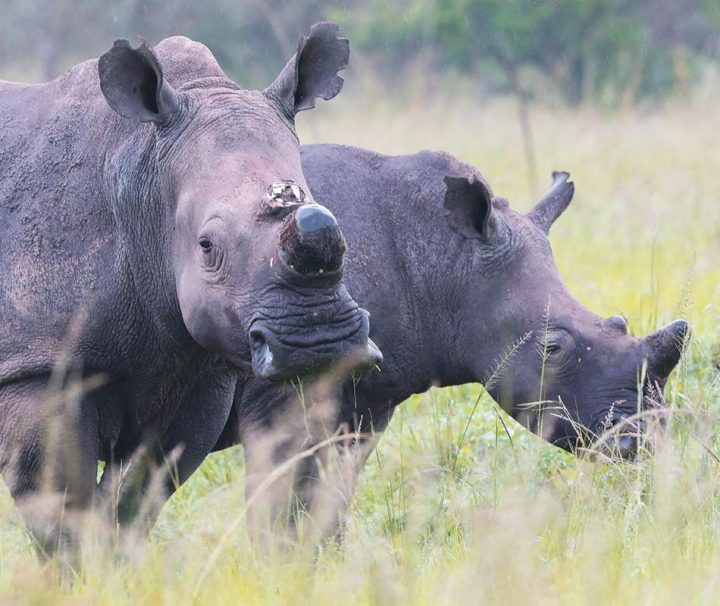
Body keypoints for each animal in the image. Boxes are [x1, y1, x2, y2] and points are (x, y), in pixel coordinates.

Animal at [0, 25, 382, 556]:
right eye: (207, 247)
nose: (318, 342)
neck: (142, 178)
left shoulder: (196, 370)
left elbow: (135, 499)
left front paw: (117, 566)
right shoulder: (38, 366)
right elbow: (62, 511)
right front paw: (78, 572)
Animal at [211, 144, 688, 540]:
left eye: (620, 322)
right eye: (552, 349)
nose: (645, 437)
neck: (444, 260)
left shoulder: (366, 403)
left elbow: (328, 500)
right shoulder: (285, 390)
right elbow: (282, 503)